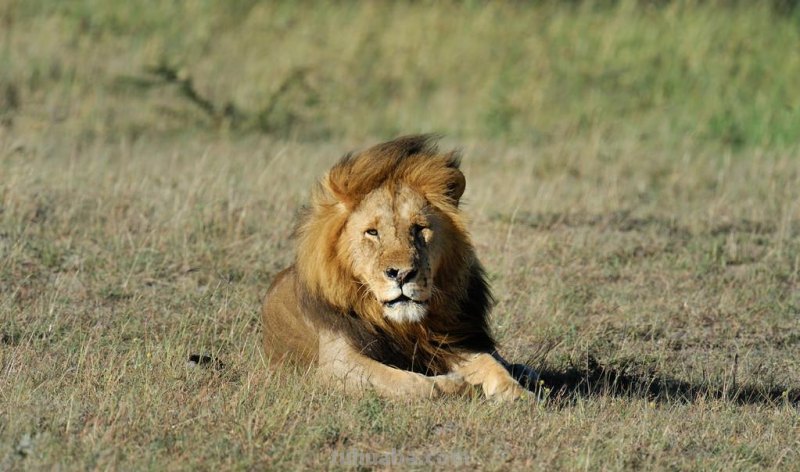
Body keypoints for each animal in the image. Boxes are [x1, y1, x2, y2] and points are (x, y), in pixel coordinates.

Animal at [261, 135, 536, 401]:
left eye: (419, 228)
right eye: (372, 232)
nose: (402, 274)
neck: (405, 326)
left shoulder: (453, 340)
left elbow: (490, 363)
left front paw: (516, 393)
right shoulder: (336, 363)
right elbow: (409, 382)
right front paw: (459, 385)